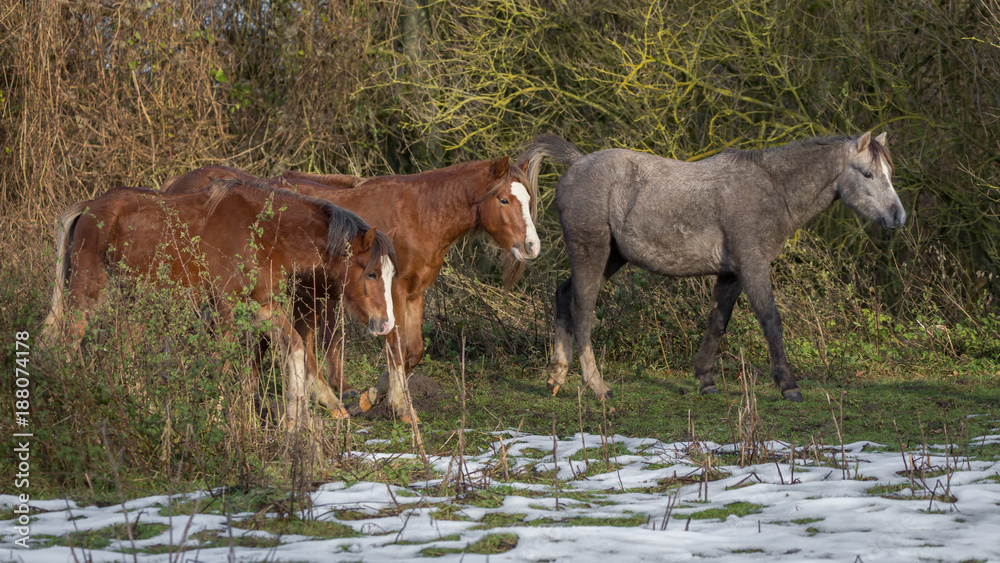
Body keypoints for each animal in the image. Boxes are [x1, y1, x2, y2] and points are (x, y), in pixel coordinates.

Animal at [41, 179, 397, 428]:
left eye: (390, 274)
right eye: (371, 273)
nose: (386, 325)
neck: (265, 235)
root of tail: (88, 207)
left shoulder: (263, 308)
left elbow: (297, 350)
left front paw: (298, 420)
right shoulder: (227, 311)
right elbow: (222, 366)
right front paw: (215, 421)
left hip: (136, 301)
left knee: (124, 350)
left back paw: (141, 408)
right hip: (88, 293)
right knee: (65, 345)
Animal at [161, 157, 540, 421]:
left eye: (529, 199)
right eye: (504, 200)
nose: (533, 246)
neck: (419, 215)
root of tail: (175, 186)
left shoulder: (415, 294)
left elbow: (413, 351)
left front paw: (376, 395)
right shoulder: (393, 293)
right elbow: (396, 347)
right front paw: (398, 406)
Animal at [517, 132, 905, 402]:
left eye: (889, 172)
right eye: (867, 173)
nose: (897, 217)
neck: (772, 188)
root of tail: (577, 162)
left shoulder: (732, 272)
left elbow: (718, 321)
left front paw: (705, 379)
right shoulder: (752, 264)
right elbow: (770, 320)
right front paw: (788, 385)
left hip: (612, 257)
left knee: (563, 296)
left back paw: (556, 377)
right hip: (591, 252)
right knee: (583, 310)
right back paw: (598, 386)